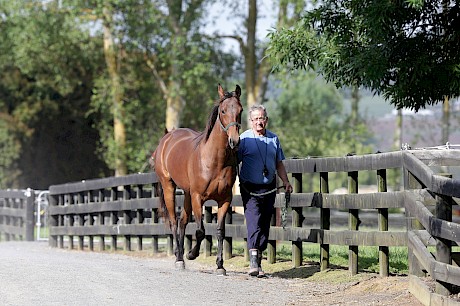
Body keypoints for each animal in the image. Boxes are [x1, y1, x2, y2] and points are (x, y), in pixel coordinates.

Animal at [152, 83, 244, 274]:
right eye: (223, 110)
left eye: (240, 110)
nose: (235, 141)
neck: (214, 160)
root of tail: (166, 139)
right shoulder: (197, 198)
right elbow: (201, 231)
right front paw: (192, 254)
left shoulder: (225, 200)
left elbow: (220, 231)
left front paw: (220, 265)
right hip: (169, 187)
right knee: (174, 221)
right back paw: (180, 259)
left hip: (187, 193)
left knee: (182, 221)